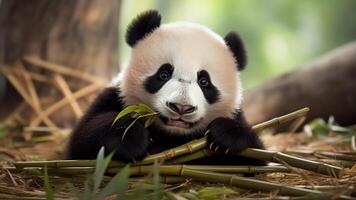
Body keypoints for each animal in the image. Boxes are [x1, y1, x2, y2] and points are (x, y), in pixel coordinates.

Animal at [66, 9, 264, 166]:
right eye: (164, 74)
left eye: (204, 81)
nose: (181, 107)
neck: (172, 135)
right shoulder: (116, 97)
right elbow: (81, 141)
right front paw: (130, 138)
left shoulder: (237, 117)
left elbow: (255, 157)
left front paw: (226, 133)